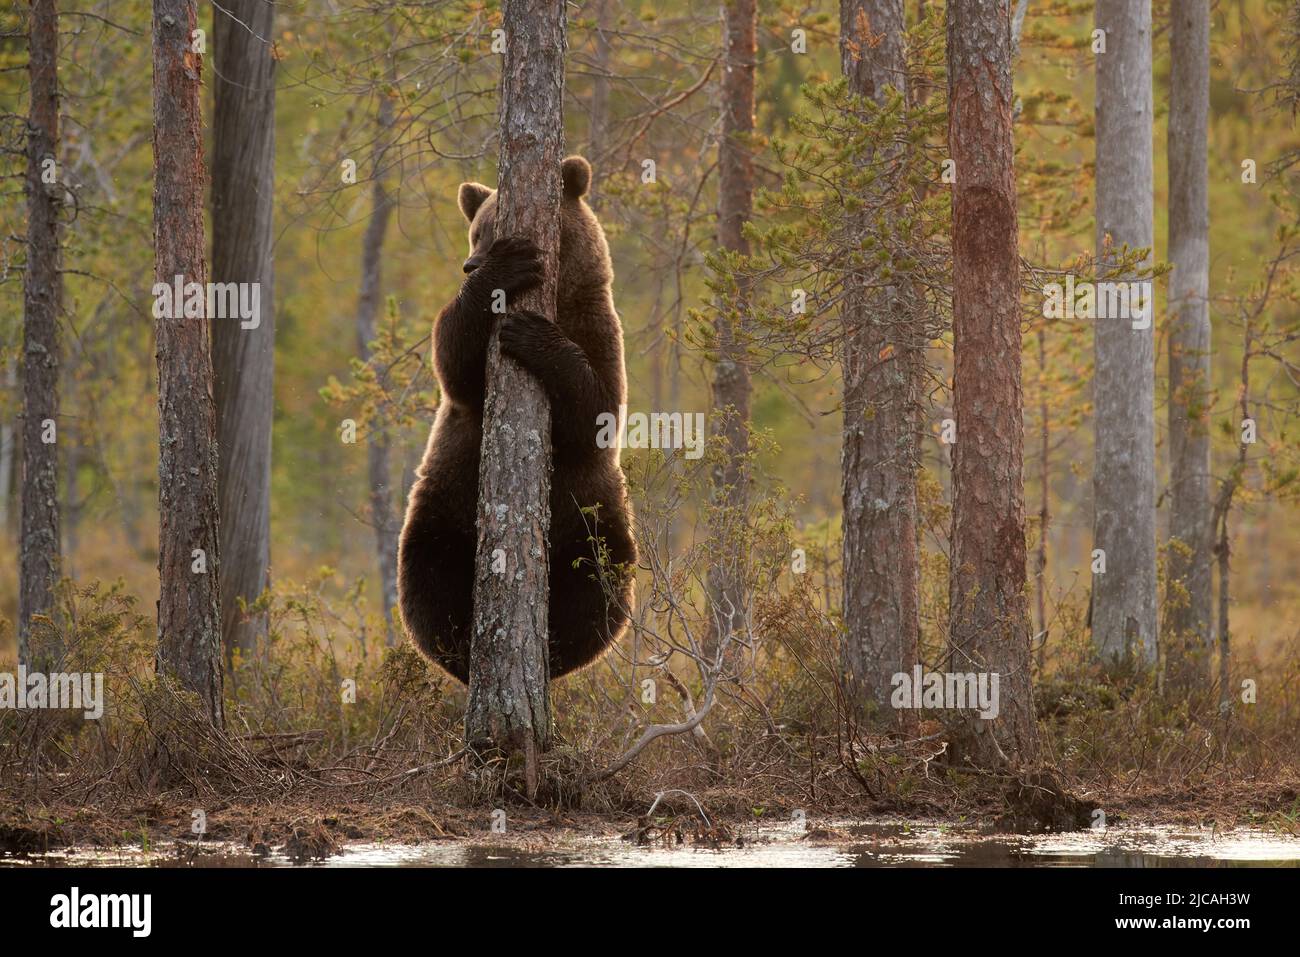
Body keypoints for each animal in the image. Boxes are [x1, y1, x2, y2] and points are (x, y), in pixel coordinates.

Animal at [397, 155, 637, 681]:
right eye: (477, 233)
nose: (470, 263)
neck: (560, 297)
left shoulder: (598, 328)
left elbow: (598, 414)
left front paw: (532, 334)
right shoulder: (467, 387)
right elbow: (453, 357)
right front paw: (504, 272)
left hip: (590, 518)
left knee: (599, 584)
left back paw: (557, 647)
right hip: (444, 505)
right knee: (429, 575)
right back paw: (464, 646)